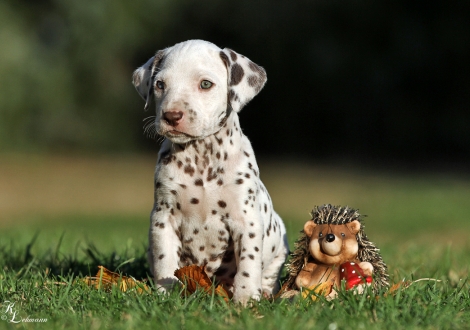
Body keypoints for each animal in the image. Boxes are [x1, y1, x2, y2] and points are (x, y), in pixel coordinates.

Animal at [130, 40, 288, 306]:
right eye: (160, 84)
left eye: (205, 84)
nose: (171, 116)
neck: (201, 157)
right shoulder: (163, 217)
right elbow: (165, 260)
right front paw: (166, 295)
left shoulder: (246, 220)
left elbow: (249, 262)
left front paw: (246, 299)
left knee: (269, 274)